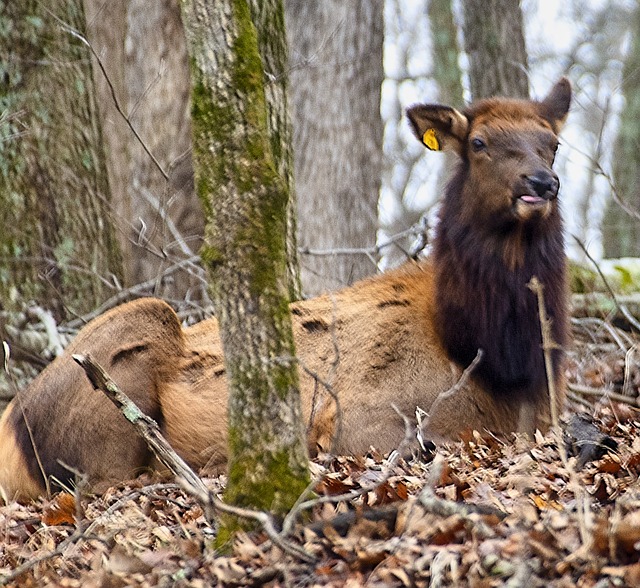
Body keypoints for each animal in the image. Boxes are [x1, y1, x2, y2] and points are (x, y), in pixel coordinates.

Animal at [0, 78, 572, 500]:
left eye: (553, 143)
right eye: (479, 143)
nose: (541, 183)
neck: (492, 357)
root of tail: (12, 426)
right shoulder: (361, 418)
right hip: (131, 343)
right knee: (101, 481)